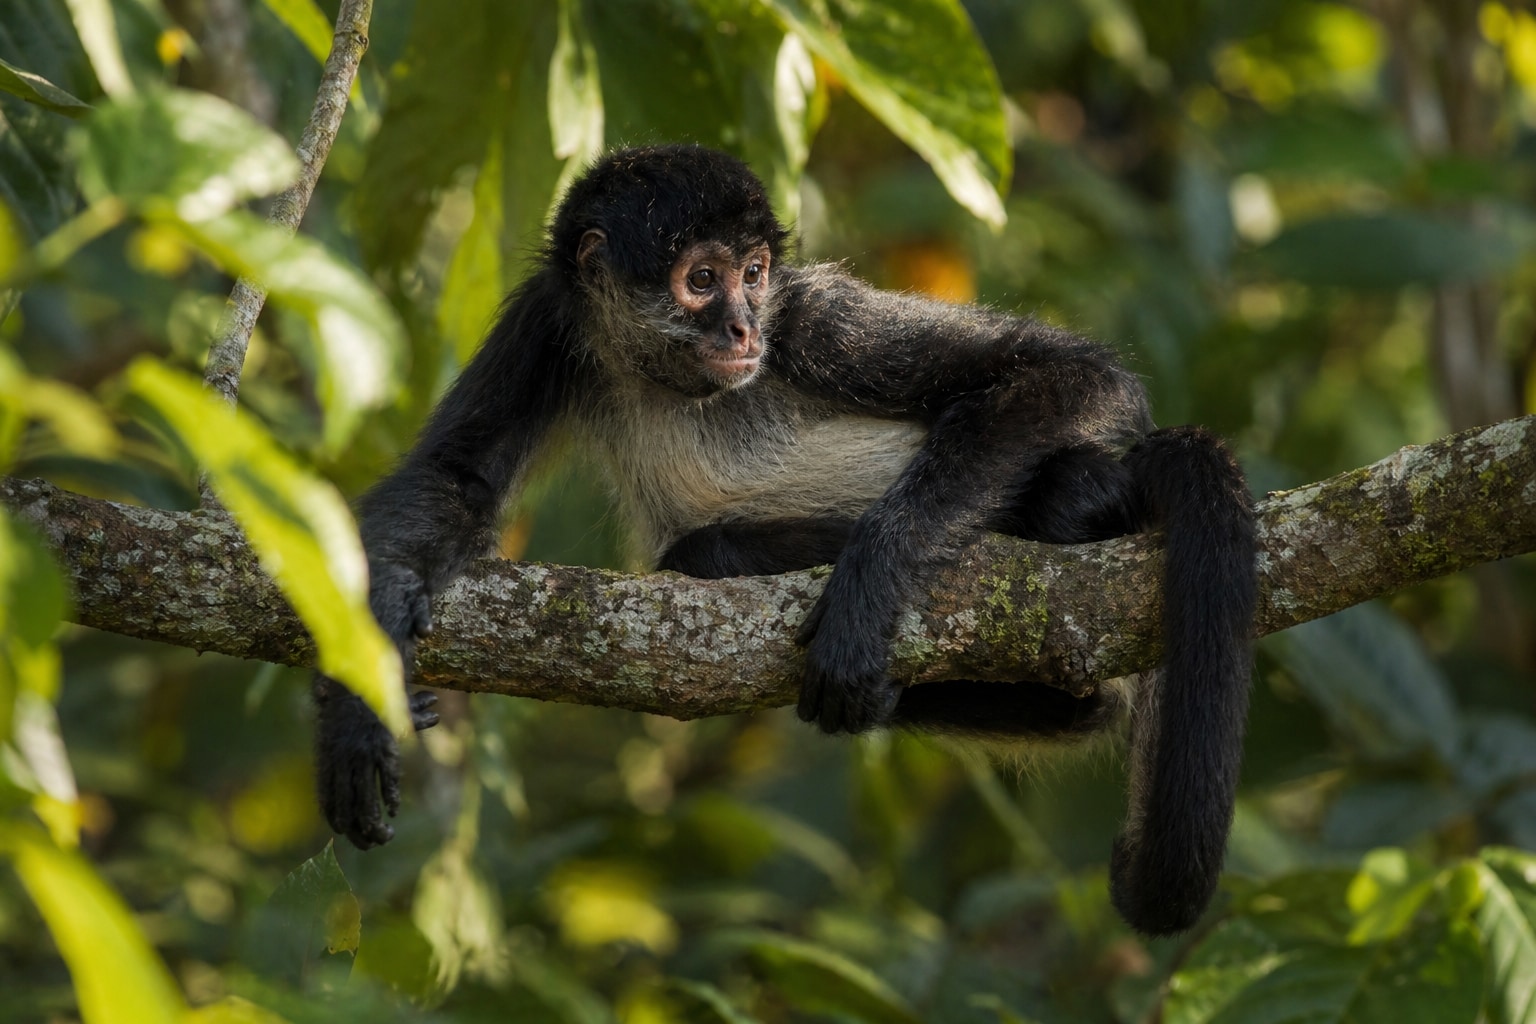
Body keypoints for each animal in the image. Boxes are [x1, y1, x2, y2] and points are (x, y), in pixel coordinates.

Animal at [312, 144, 1257, 937]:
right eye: (701, 280)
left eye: (755, 274)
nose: (741, 327)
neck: (676, 382)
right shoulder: (549, 321)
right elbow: (455, 478)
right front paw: (359, 688)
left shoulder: (807, 320)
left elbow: (1076, 372)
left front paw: (869, 584)